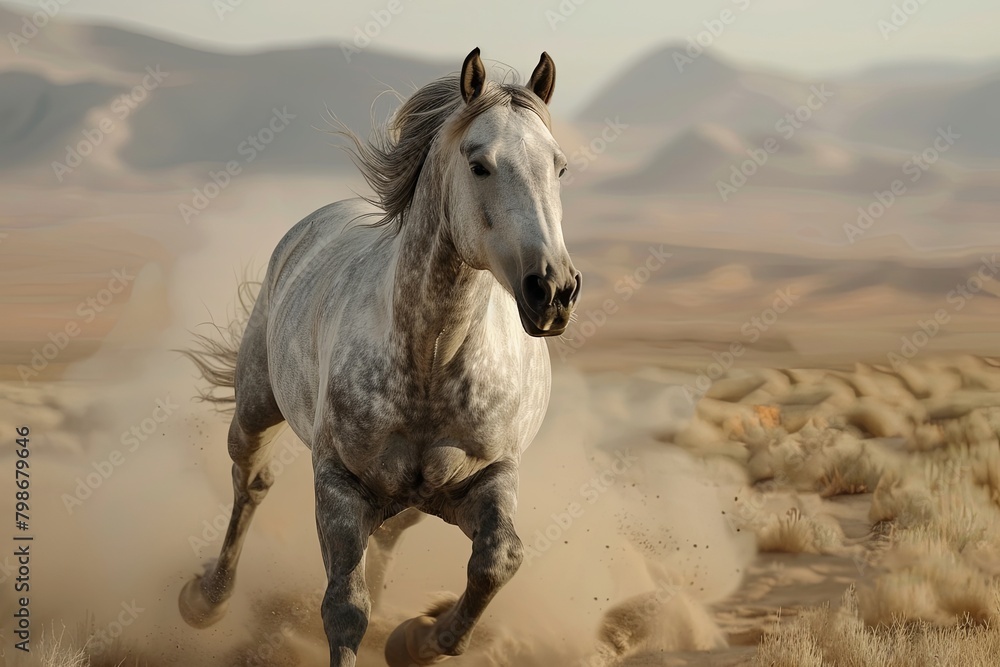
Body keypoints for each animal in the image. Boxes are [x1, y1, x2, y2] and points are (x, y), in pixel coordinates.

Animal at [177, 47, 581, 666]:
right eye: (479, 165)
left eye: (558, 167)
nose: (554, 291)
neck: (431, 361)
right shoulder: (338, 485)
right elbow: (345, 611)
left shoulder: (488, 477)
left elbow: (498, 561)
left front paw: (419, 639)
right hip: (255, 407)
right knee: (250, 482)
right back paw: (207, 600)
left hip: (409, 498)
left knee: (388, 534)